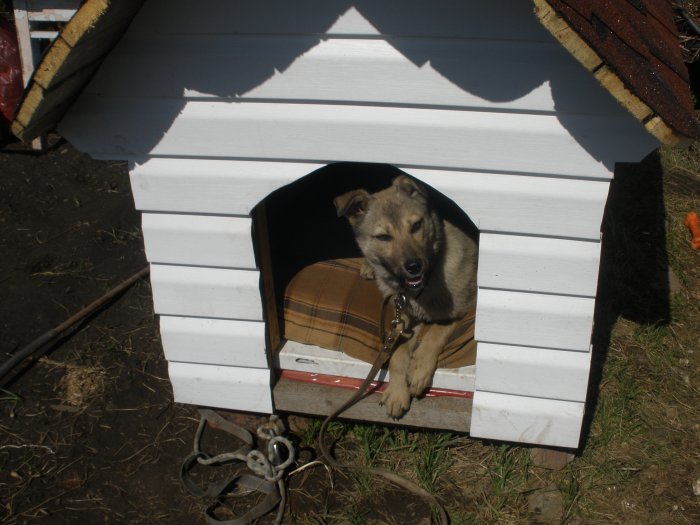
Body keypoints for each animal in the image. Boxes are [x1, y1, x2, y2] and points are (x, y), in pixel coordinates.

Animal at [334, 176, 478, 418]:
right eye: (383, 237)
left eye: (416, 225)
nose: (414, 266)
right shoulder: (402, 320)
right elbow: (398, 354)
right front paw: (397, 391)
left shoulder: (461, 309)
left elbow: (434, 333)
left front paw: (419, 369)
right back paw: (368, 267)